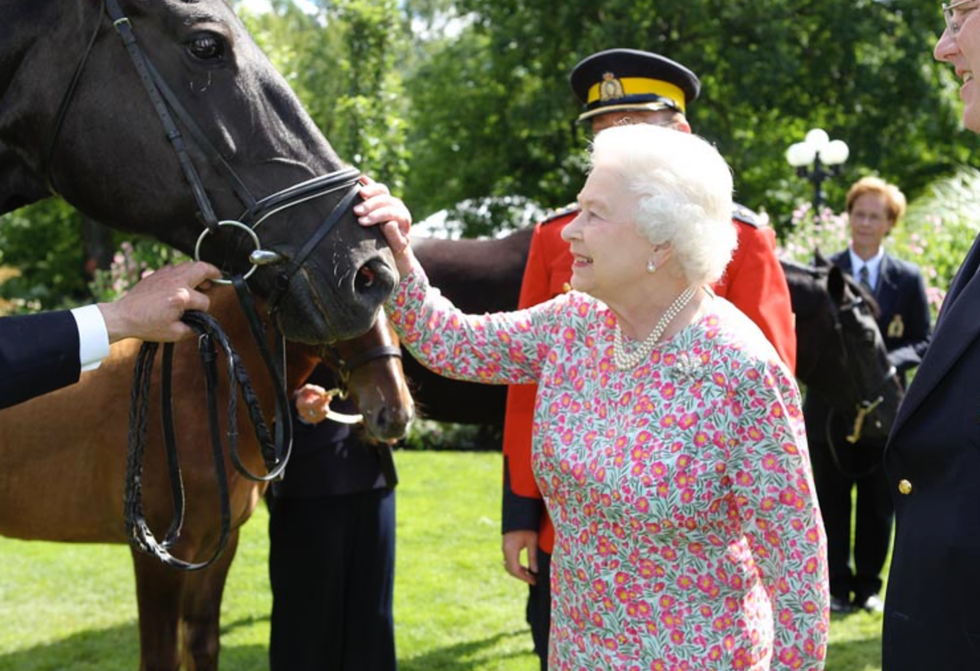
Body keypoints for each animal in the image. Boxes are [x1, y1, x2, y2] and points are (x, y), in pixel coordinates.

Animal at [0, 286, 414, 671]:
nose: (395, 413)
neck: (196, 388)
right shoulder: (157, 554)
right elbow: (161, 656)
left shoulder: (218, 545)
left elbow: (202, 643)